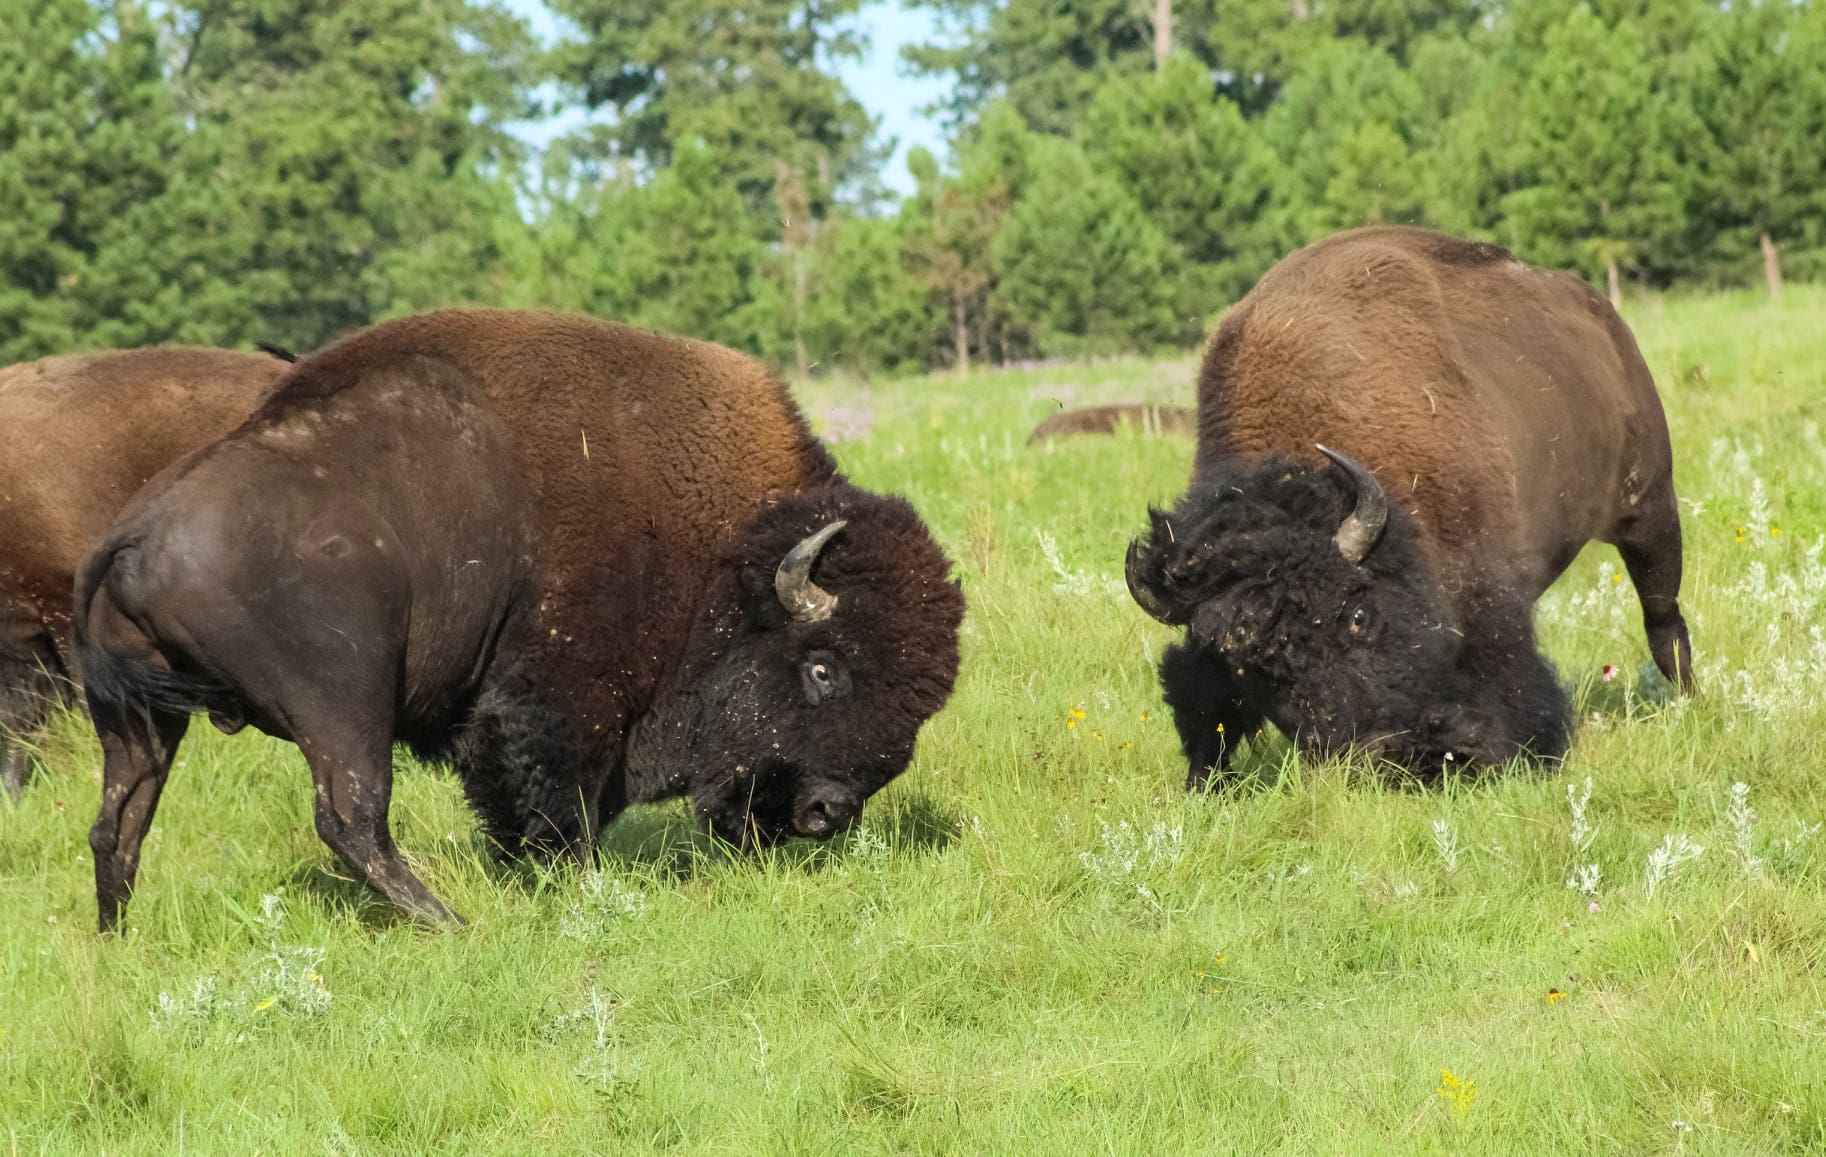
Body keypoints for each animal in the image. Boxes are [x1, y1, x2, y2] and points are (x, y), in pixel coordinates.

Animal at [67, 310, 971, 923]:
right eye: (824, 666)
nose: (827, 812)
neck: (724, 551)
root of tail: (136, 533)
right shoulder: (562, 703)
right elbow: (562, 806)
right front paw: (566, 882)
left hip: (138, 718)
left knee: (118, 825)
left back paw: (119, 938)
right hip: (341, 699)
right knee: (351, 817)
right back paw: (449, 922)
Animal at [1124, 225, 1694, 784]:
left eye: (1357, 615)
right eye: (1255, 671)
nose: (1376, 752)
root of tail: (1602, 316)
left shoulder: (1488, 592)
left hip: (1648, 507)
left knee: (1663, 619)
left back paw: (1689, 704)